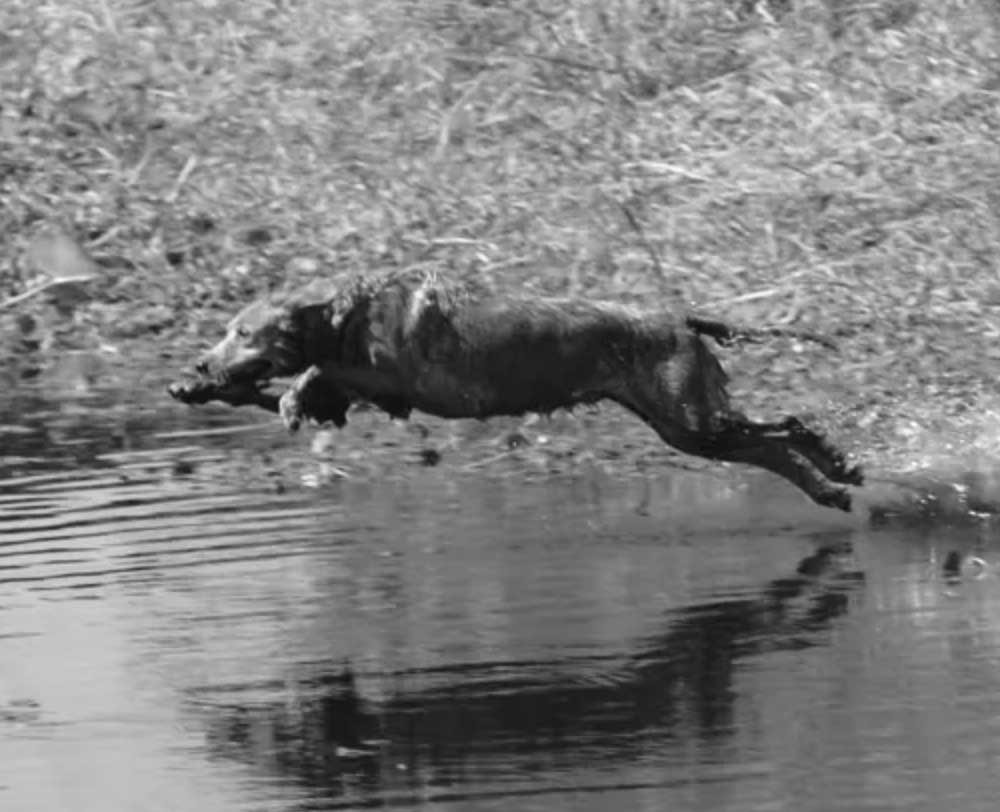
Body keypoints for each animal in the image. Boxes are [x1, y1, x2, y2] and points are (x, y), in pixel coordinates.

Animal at [169, 270, 862, 510]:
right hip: (686, 428)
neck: (349, 317)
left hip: (693, 419)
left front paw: (284, 394)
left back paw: (837, 469)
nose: (201, 362)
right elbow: (290, 389)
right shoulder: (370, 396)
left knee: (787, 428)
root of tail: (683, 320)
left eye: (242, 332)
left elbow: (314, 377)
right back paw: (833, 485)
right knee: (773, 443)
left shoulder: (395, 380)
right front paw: (196, 389)